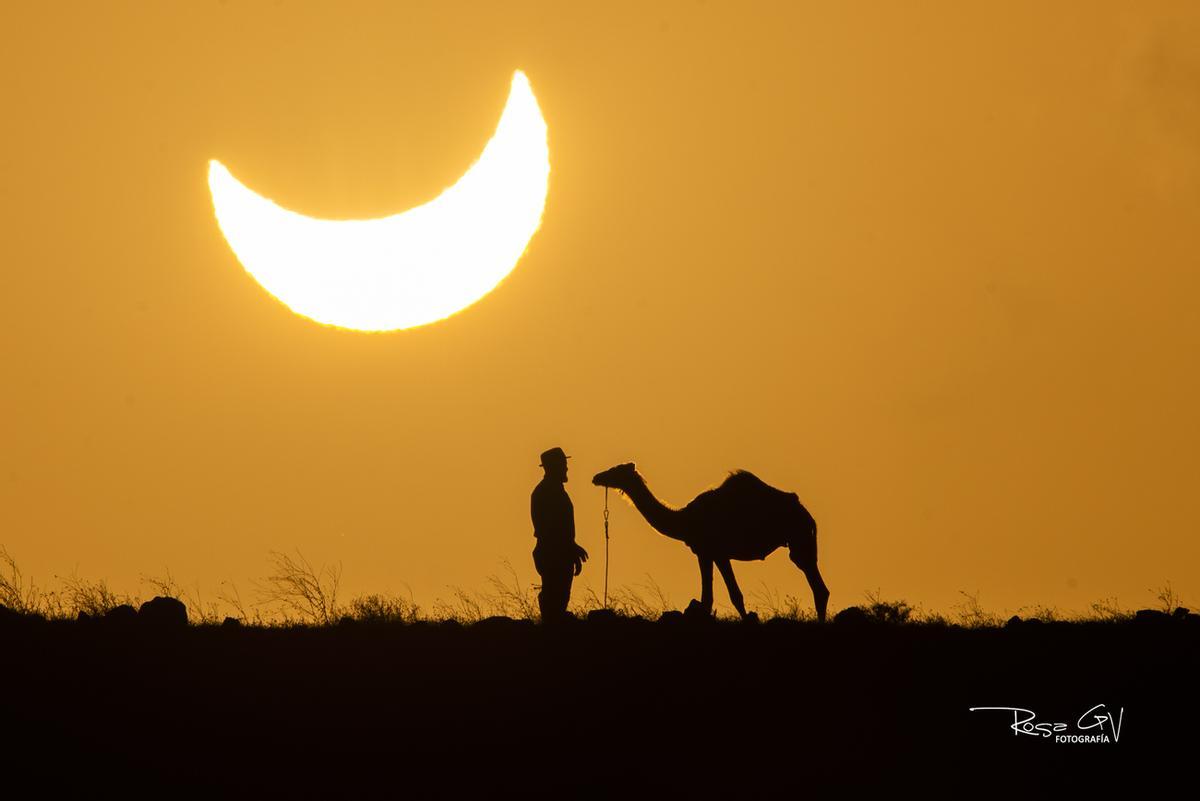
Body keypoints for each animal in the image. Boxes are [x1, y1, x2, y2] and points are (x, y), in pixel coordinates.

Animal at [592, 463, 830, 622]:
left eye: (616, 470)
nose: (597, 477)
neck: (685, 519)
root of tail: (808, 515)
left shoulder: (713, 551)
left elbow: (722, 597)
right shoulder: (709, 553)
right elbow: (718, 597)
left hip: (798, 537)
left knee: (817, 584)